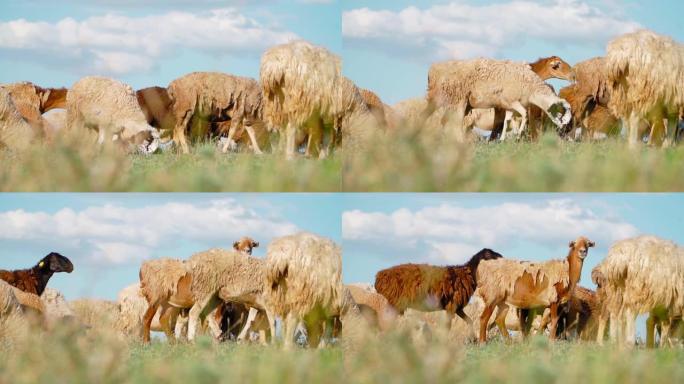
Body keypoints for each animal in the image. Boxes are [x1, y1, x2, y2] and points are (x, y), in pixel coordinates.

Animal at [374, 249, 502, 336]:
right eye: (489, 254)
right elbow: (448, 327)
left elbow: (469, 321)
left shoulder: (456, 307)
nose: (501, 256)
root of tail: (379, 277)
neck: (468, 273)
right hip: (395, 303)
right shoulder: (452, 305)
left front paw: (473, 339)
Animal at [428, 58, 572, 140]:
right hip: (458, 102)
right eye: (557, 65)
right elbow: (523, 117)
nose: (564, 131)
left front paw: (504, 139)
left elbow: (507, 121)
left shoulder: (509, 107)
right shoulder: (512, 103)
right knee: (453, 125)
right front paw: (517, 136)